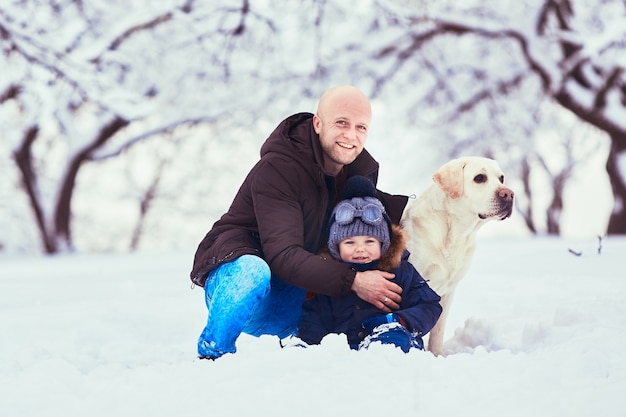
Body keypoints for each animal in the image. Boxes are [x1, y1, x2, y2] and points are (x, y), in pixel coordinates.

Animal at [400, 156, 512, 354]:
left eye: (501, 178)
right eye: (479, 178)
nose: (510, 194)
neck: (455, 233)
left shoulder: (447, 293)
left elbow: (437, 331)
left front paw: (436, 355)